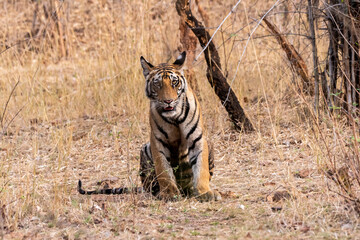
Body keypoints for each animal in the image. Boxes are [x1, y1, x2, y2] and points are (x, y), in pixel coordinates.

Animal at [77, 51, 221, 202]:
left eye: (174, 82)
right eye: (157, 84)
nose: (168, 101)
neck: (174, 117)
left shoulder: (197, 138)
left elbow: (201, 167)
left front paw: (205, 192)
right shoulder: (157, 141)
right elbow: (163, 170)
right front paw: (169, 193)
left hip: (209, 143)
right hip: (145, 150)